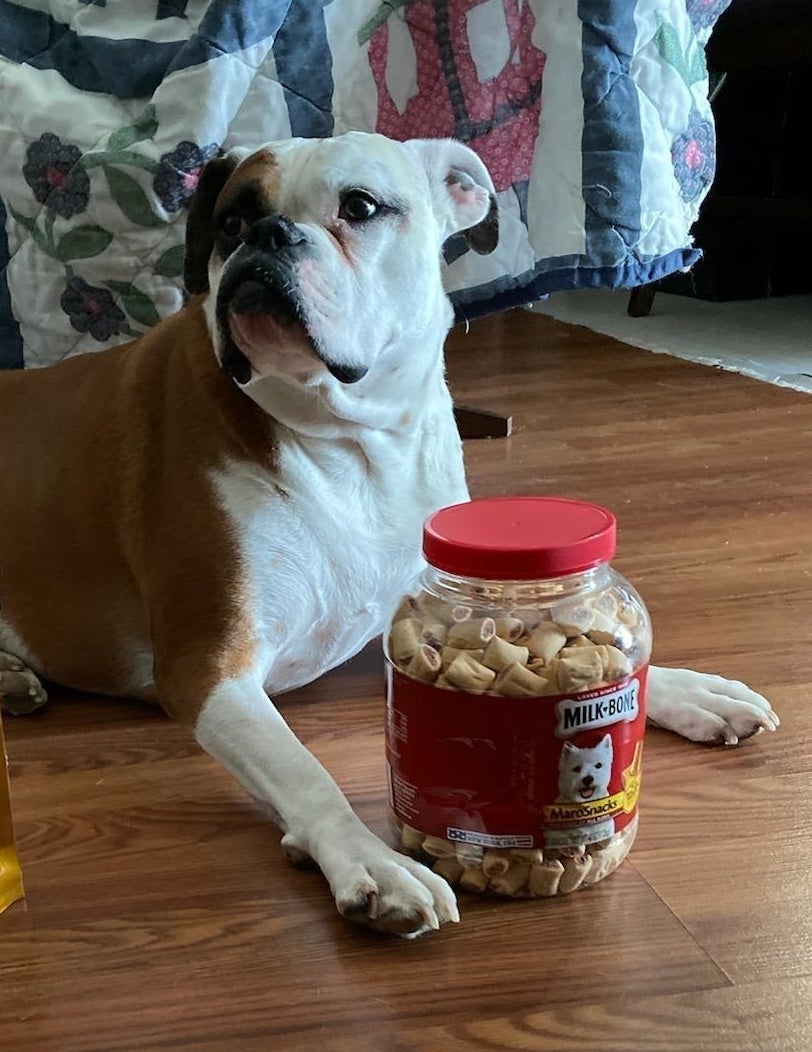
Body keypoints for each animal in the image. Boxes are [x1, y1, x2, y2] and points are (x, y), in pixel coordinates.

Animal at [0, 129, 778, 938]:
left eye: (361, 207)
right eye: (230, 221)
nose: (266, 234)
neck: (349, 441)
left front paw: (686, 689)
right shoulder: (207, 668)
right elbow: (304, 770)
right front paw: (369, 859)